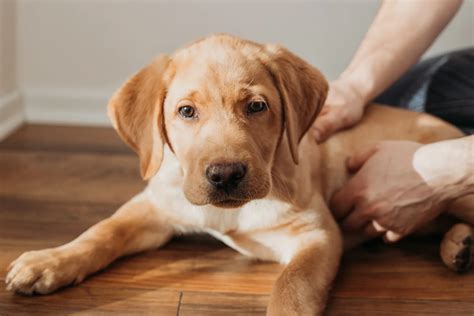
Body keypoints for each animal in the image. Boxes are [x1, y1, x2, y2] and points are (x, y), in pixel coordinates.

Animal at [5, 33, 472, 314]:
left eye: (256, 106)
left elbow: (292, 288)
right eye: (186, 112)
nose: (226, 174)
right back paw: (458, 246)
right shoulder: (156, 206)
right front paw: (49, 261)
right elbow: (102, 231)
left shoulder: (316, 235)